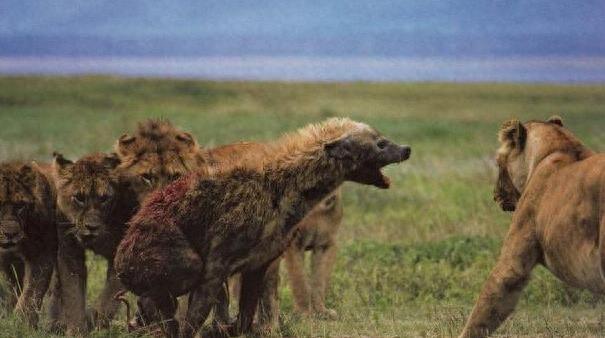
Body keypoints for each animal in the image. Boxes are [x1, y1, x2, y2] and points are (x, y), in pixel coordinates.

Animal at [114, 117, 410, 336]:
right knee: (159, 295)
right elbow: (196, 317)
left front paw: (236, 328)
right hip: (168, 257)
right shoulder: (216, 263)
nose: (407, 148)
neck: (285, 190)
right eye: (381, 143)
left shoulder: (260, 261)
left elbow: (246, 313)